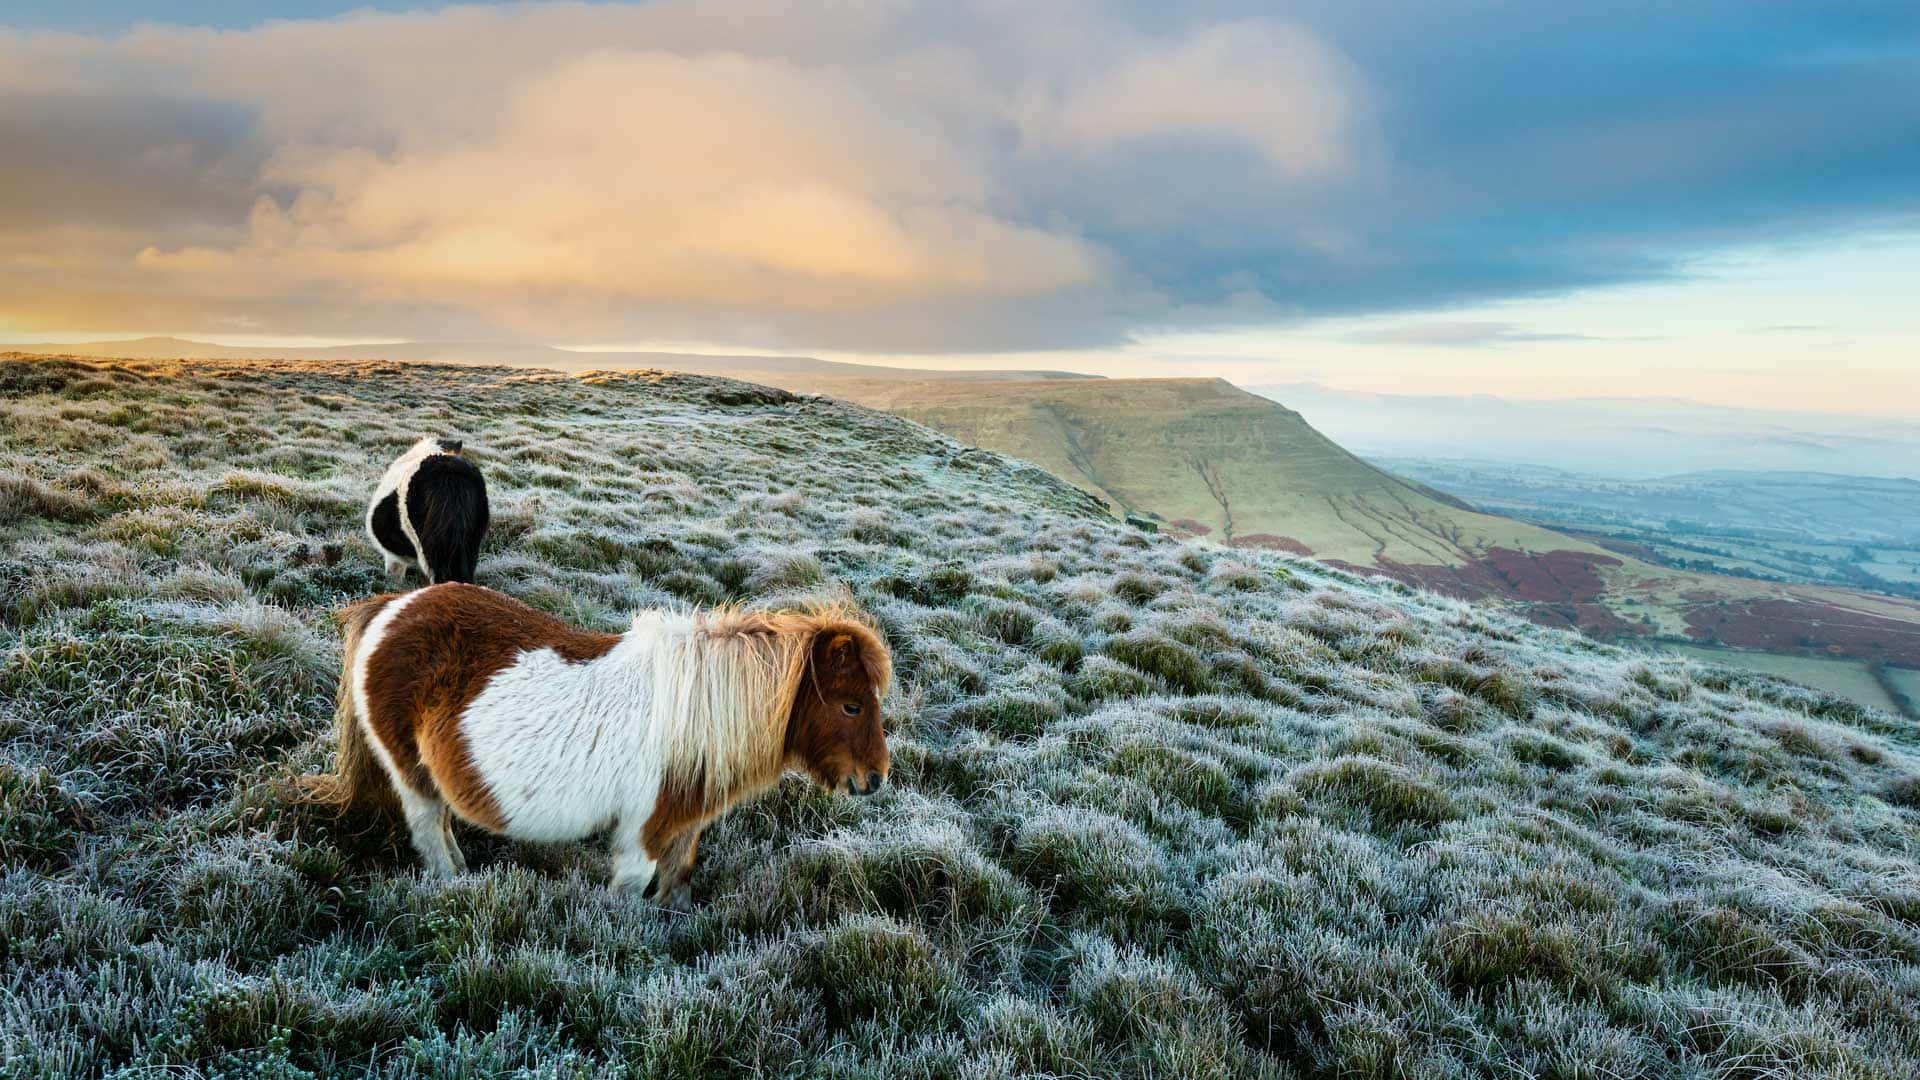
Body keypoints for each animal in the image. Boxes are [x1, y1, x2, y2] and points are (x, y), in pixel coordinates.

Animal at [305, 583, 891, 906]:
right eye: (851, 706)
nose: (875, 779)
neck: (697, 714)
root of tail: (392, 606)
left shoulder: (684, 824)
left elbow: (678, 885)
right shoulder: (643, 832)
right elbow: (630, 894)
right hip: (412, 775)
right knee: (429, 831)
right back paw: (455, 885)